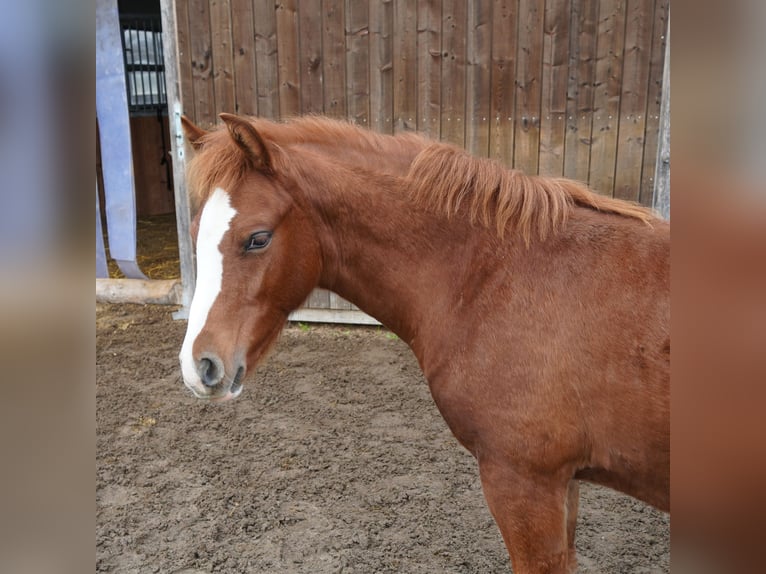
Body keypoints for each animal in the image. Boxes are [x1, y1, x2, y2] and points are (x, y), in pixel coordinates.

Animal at [177, 113, 668, 574]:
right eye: (196, 231)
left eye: (258, 238)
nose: (199, 366)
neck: (494, 275)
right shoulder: (565, 483)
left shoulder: (525, 483)